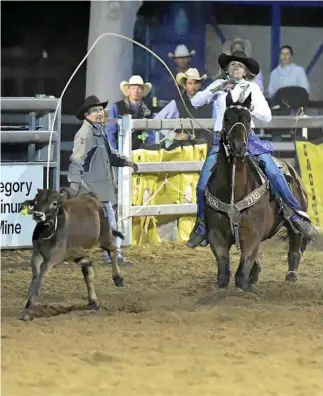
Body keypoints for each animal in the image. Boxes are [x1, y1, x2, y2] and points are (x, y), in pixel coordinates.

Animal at [206, 93, 310, 290]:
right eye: (226, 117)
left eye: (248, 119)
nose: (238, 146)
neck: (234, 191)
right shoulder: (216, 234)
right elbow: (223, 271)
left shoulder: (252, 234)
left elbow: (241, 271)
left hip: (296, 220)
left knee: (295, 246)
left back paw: (291, 275)